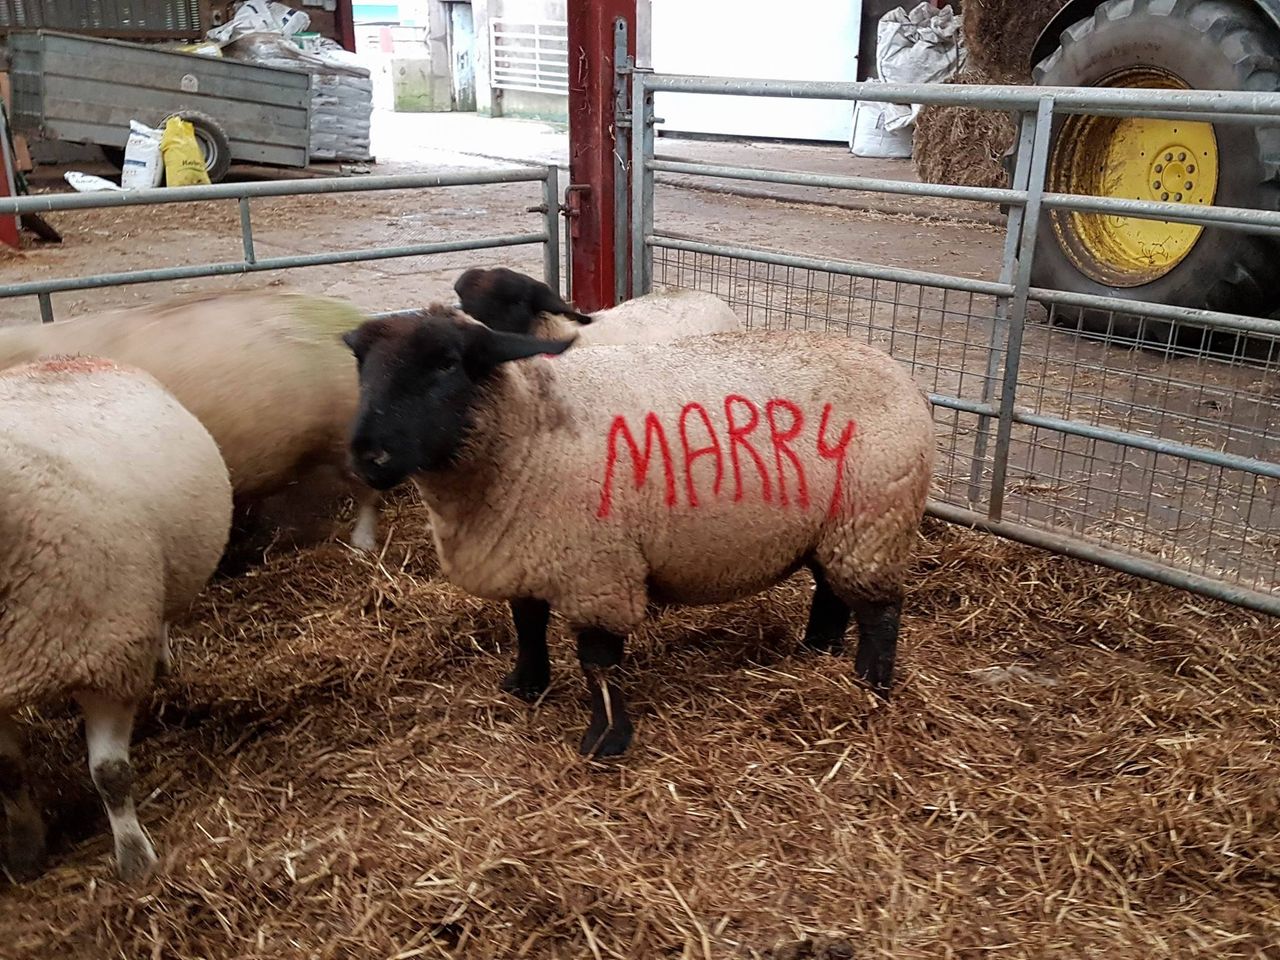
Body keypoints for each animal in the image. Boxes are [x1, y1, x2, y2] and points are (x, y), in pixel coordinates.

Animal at [0, 355, 232, 882]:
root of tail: (69, 356)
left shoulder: (111, 658)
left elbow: (110, 775)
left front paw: (134, 858)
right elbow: (9, 773)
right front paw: (24, 851)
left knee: (163, 616)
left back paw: (162, 665)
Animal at [340, 305, 935, 758]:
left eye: (446, 363)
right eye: (361, 364)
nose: (367, 457)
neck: (530, 427)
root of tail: (897, 370)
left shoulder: (597, 569)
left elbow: (598, 662)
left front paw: (606, 739)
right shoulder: (529, 548)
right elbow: (527, 623)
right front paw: (526, 686)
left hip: (875, 518)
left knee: (881, 611)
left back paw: (870, 685)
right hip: (838, 523)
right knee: (831, 589)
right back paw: (817, 651)